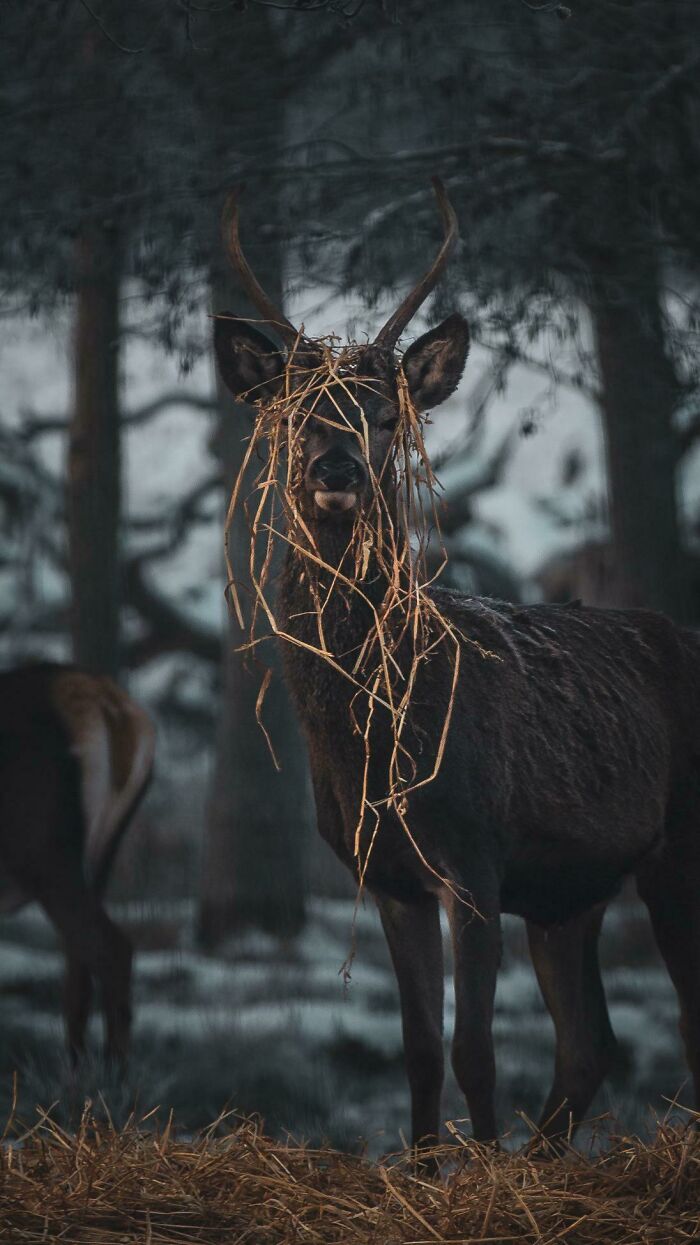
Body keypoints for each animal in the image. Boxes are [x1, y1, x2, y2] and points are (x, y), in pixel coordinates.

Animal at [211, 181, 697, 1145]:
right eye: (296, 414)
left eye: (386, 416)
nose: (336, 468)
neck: (380, 742)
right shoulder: (391, 877)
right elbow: (420, 1051)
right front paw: (428, 1160)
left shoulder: (473, 853)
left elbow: (476, 1049)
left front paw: (483, 1166)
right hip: (571, 892)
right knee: (591, 1042)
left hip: (683, 845)